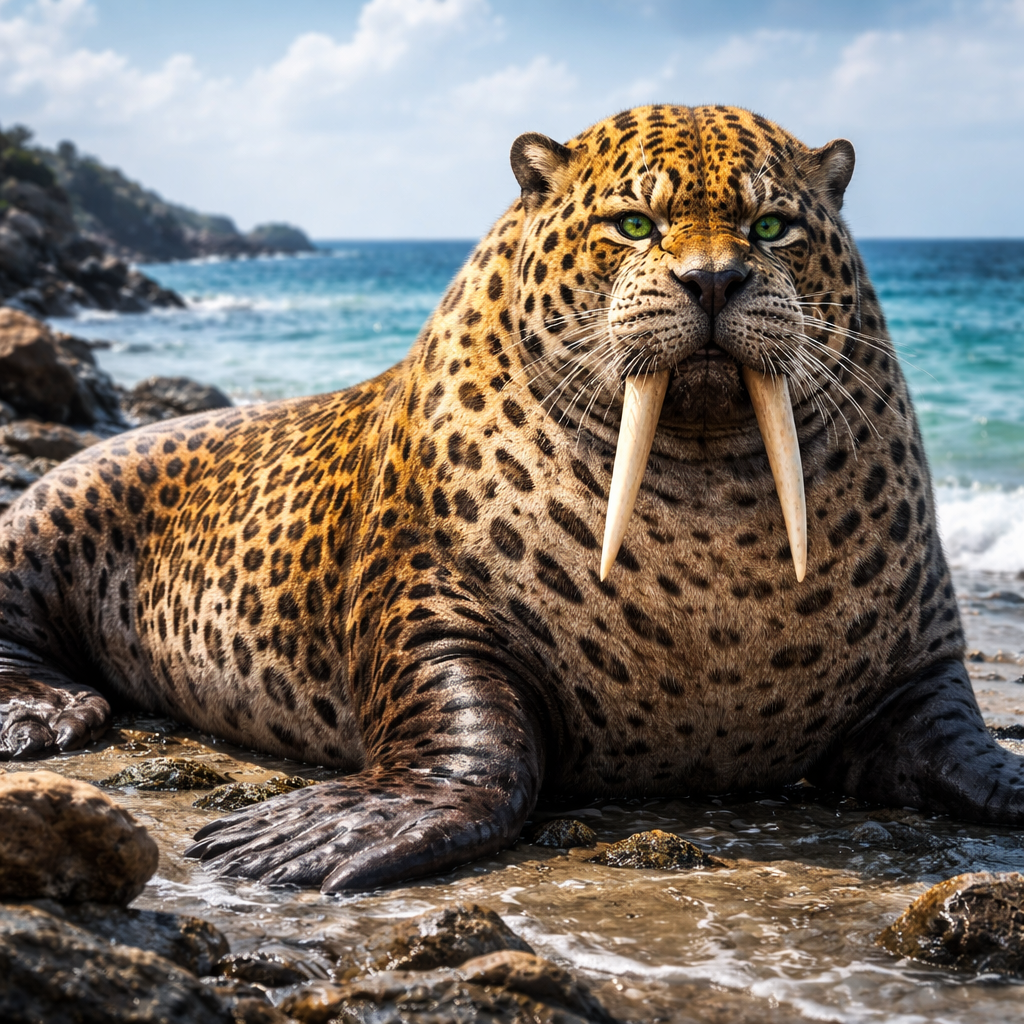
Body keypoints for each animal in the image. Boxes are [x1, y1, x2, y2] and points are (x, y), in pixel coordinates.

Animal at [1, 104, 1020, 893]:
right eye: (634, 223)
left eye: (773, 227)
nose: (714, 277)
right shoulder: (427, 606)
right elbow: (471, 734)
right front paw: (296, 839)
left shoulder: (922, 658)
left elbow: (955, 735)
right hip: (40, 519)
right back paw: (41, 715)